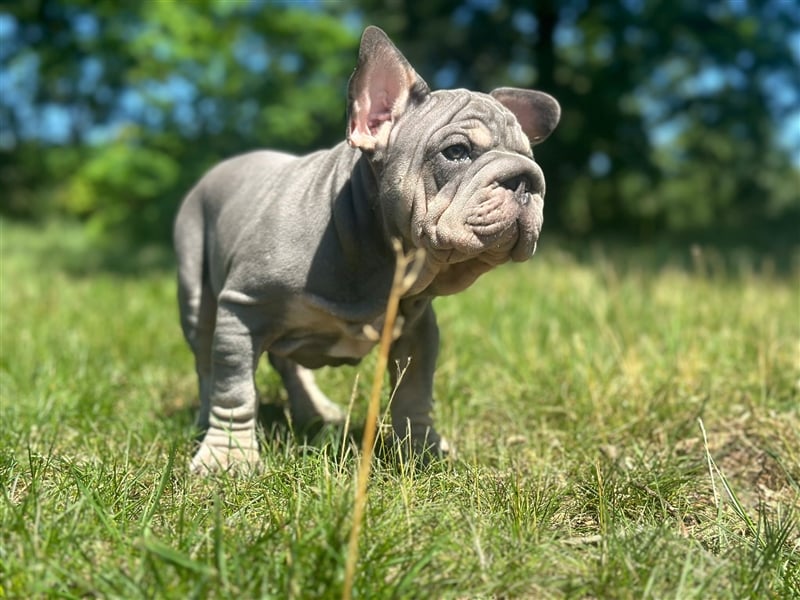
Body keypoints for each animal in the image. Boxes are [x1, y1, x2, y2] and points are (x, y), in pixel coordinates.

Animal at [175, 25, 564, 474]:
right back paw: (206, 420)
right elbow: (235, 389)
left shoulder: (417, 331)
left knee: (286, 361)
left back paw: (315, 410)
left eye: (528, 157)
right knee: (207, 361)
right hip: (197, 290)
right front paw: (228, 458)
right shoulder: (243, 307)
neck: (371, 245)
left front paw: (424, 451)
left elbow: (414, 395)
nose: (526, 180)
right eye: (456, 152)